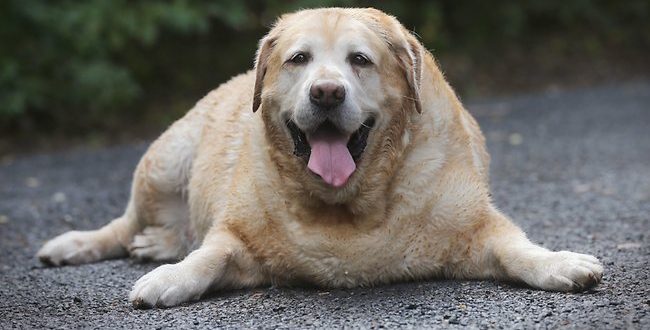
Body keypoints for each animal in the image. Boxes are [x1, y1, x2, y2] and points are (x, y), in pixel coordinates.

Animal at [35, 7, 604, 308]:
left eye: (360, 60)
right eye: (299, 59)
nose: (326, 93)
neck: (347, 209)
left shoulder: (475, 228)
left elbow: (519, 249)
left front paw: (560, 263)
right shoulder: (236, 239)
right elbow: (208, 254)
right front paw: (169, 278)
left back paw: (156, 244)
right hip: (161, 163)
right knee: (125, 225)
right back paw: (85, 245)